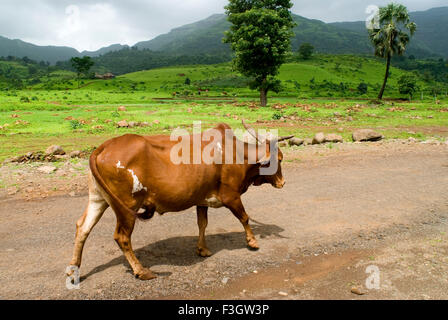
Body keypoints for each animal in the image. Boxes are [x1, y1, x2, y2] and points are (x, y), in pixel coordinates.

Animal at [67, 122, 294, 280]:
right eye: (279, 159)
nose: (283, 182)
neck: (238, 155)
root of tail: (103, 147)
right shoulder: (231, 196)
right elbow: (245, 218)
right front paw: (252, 242)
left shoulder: (201, 199)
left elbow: (202, 223)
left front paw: (202, 249)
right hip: (127, 207)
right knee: (122, 237)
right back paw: (141, 271)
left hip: (98, 199)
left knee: (82, 227)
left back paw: (74, 268)